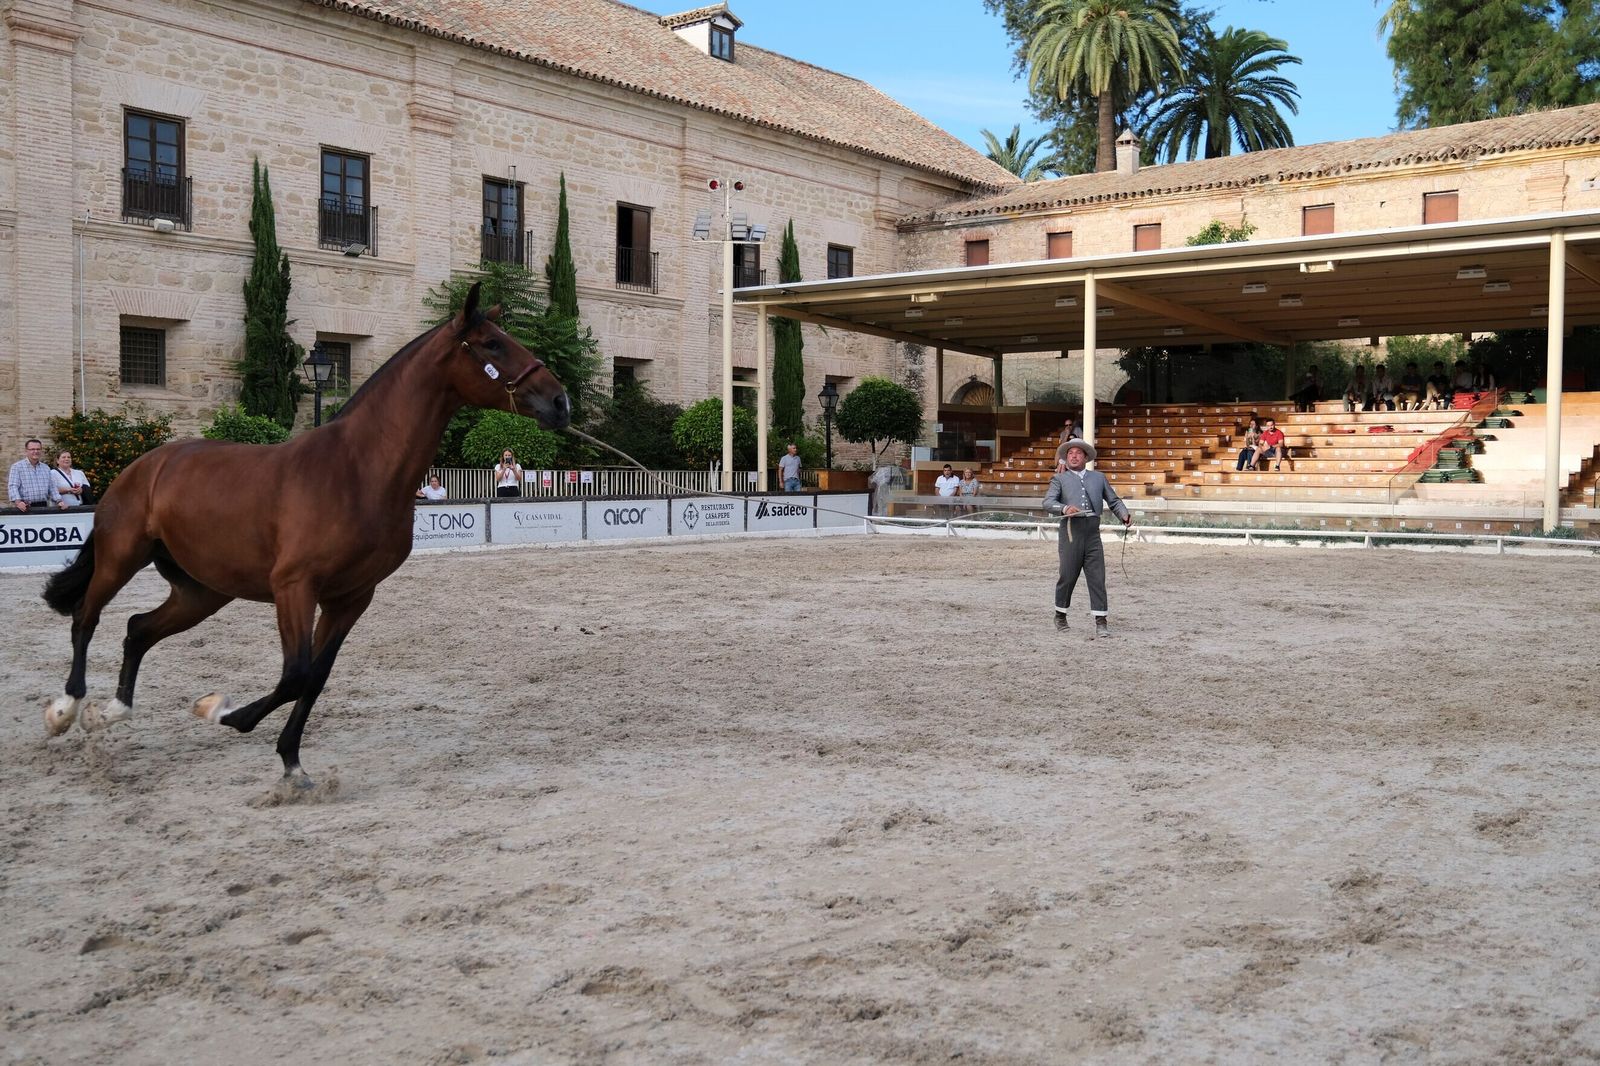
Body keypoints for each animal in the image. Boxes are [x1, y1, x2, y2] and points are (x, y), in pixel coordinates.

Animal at [40, 282, 568, 787]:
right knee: (86, 618)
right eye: (492, 344)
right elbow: (295, 674)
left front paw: (291, 764)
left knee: (137, 630)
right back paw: (66, 709)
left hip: (202, 590)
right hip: (121, 557)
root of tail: (143, 465)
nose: (559, 401)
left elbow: (315, 675)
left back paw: (110, 713)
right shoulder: (295, 587)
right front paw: (223, 712)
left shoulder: (352, 597)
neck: (356, 469)